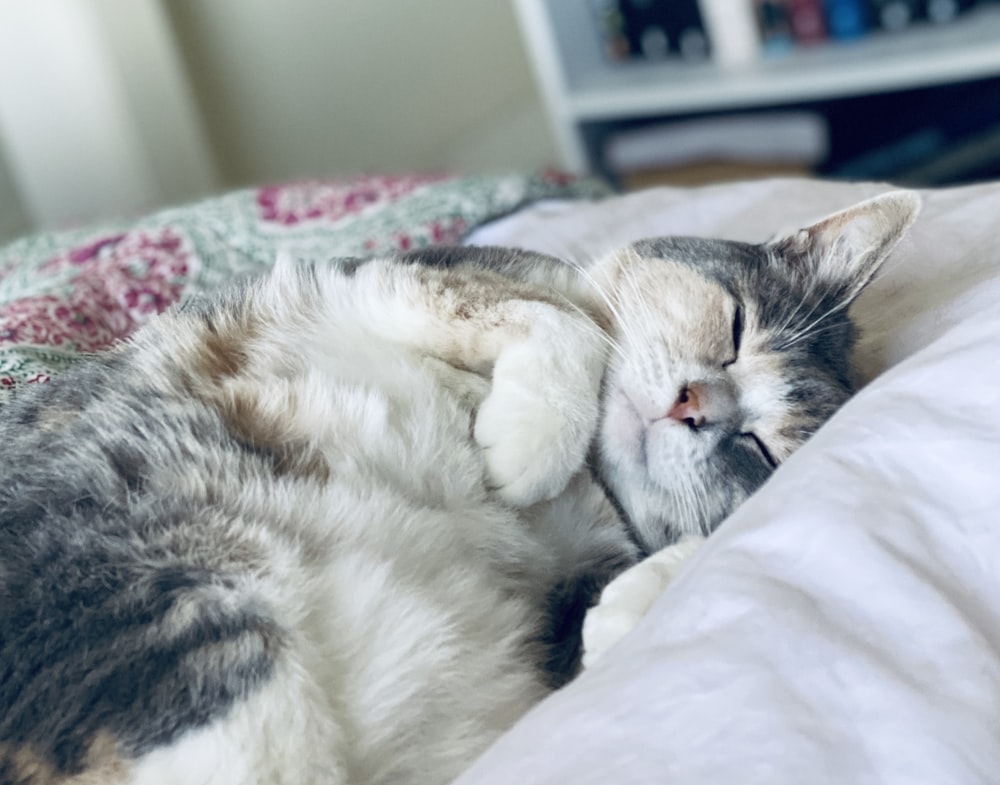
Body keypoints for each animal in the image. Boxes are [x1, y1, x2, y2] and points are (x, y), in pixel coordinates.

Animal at [0, 190, 916, 784]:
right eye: (733, 327)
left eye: (760, 451)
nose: (697, 406)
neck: (587, 486)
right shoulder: (404, 277)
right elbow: (567, 323)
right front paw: (529, 443)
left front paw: (646, 591)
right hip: (160, 594)